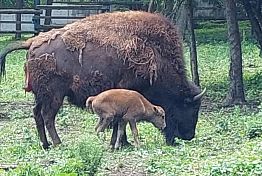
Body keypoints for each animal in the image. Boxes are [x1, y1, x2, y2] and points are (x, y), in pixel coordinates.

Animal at [0, 11, 206, 148]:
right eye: (189, 107)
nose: (189, 135)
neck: (157, 55)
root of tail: (32, 42)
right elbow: (120, 122)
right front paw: (122, 143)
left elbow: (119, 122)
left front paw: (123, 143)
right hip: (54, 95)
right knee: (47, 116)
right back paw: (58, 143)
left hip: (41, 95)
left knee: (37, 114)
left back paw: (45, 144)